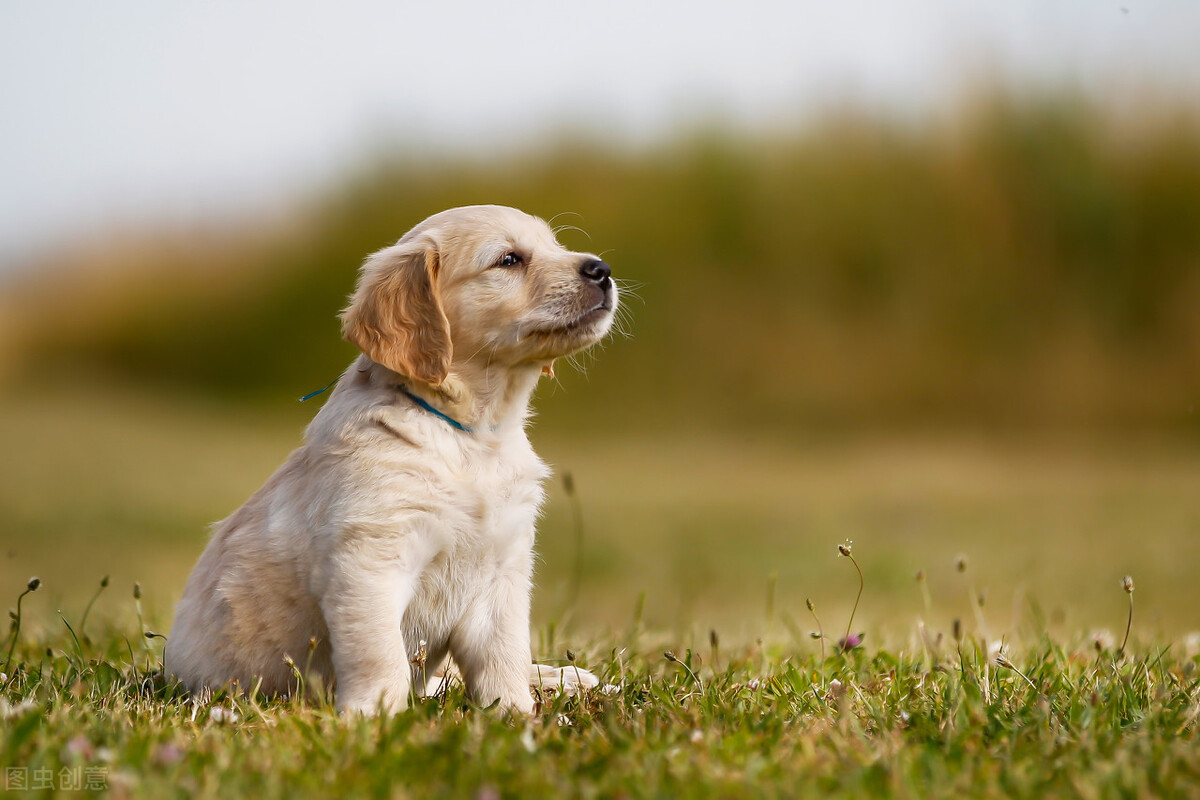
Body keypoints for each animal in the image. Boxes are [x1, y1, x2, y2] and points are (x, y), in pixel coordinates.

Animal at [166, 205, 619, 714]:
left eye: (556, 246)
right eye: (508, 259)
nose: (602, 270)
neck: (469, 435)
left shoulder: (502, 569)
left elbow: (504, 655)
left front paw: (514, 714)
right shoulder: (370, 562)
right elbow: (380, 655)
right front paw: (373, 715)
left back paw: (573, 678)